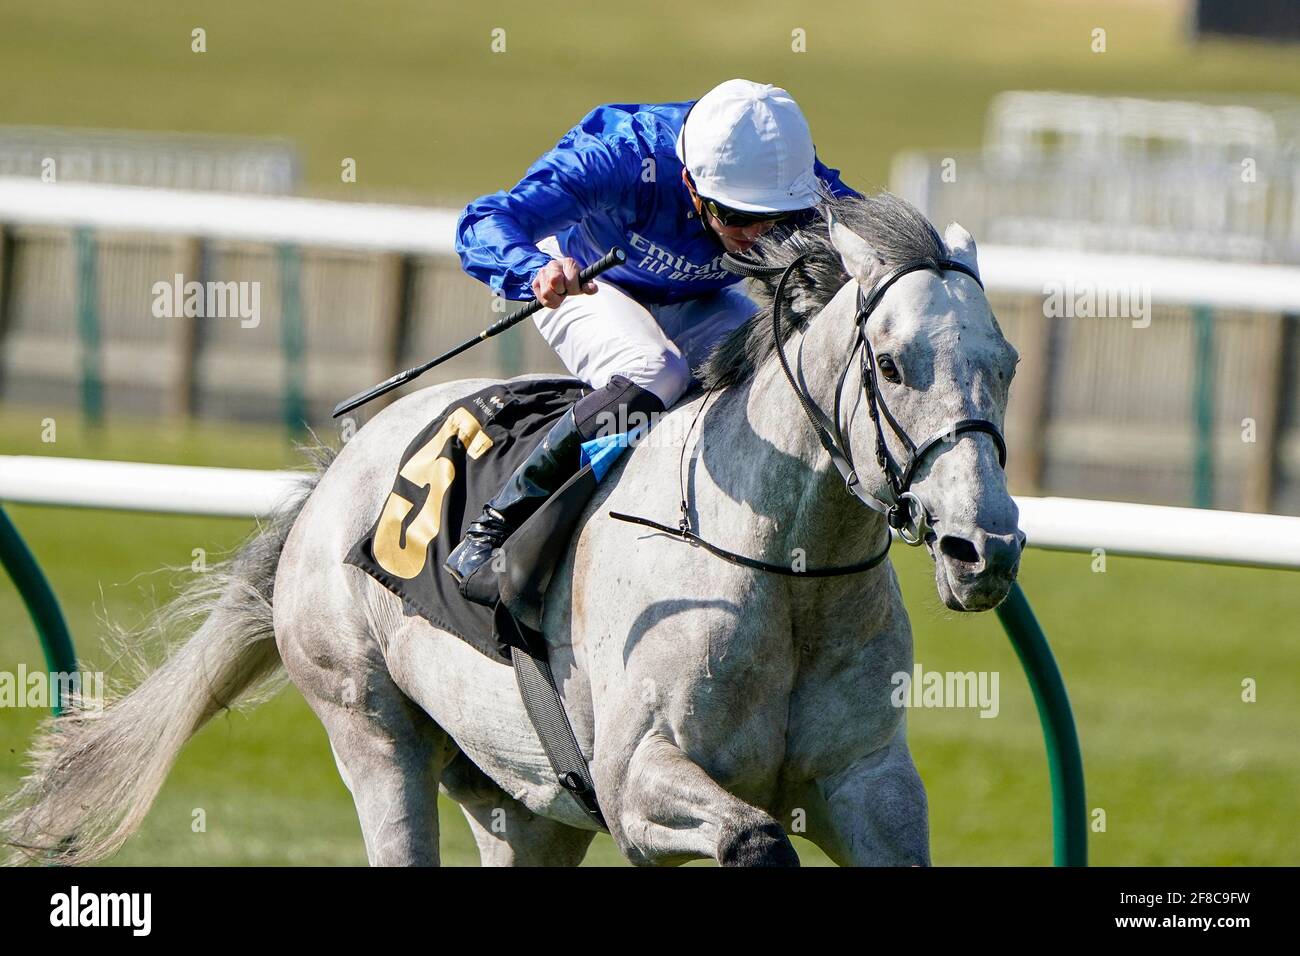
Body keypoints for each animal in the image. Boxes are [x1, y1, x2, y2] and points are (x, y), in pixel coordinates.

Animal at [2, 195, 1024, 868]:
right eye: (890, 366)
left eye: (1006, 363)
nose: (984, 549)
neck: (780, 569)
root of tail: (337, 472)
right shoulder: (637, 780)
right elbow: (754, 838)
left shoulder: (870, 786)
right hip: (370, 729)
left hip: (519, 800)